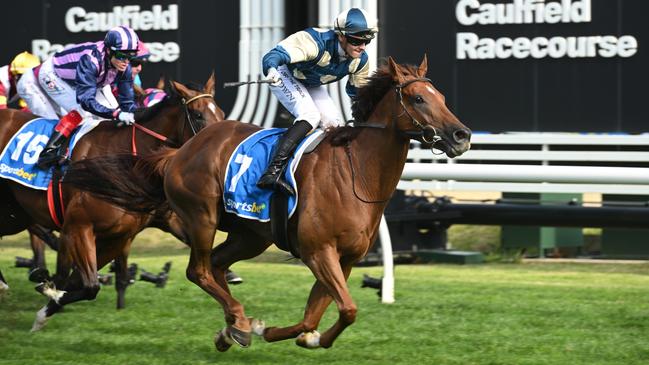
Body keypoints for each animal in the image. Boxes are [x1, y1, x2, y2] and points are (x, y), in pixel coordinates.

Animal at [0, 74, 224, 322]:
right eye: (198, 115)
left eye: (222, 114)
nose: (217, 147)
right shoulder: (78, 226)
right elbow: (88, 285)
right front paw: (49, 297)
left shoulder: (124, 234)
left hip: (15, 213)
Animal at [62, 55, 470, 348]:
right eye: (418, 98)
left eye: (443, 98)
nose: (461, 135)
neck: (356, 174)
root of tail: (179, 151)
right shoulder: (318, 251)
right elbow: (348, 309)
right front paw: (269, 331)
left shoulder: (346, 259)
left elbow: (318, 316)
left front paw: (298, 337)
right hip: (202, 217)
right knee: (199, 270)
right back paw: (240, 321)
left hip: (250, 235)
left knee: (218, 266)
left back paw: (232, 328)